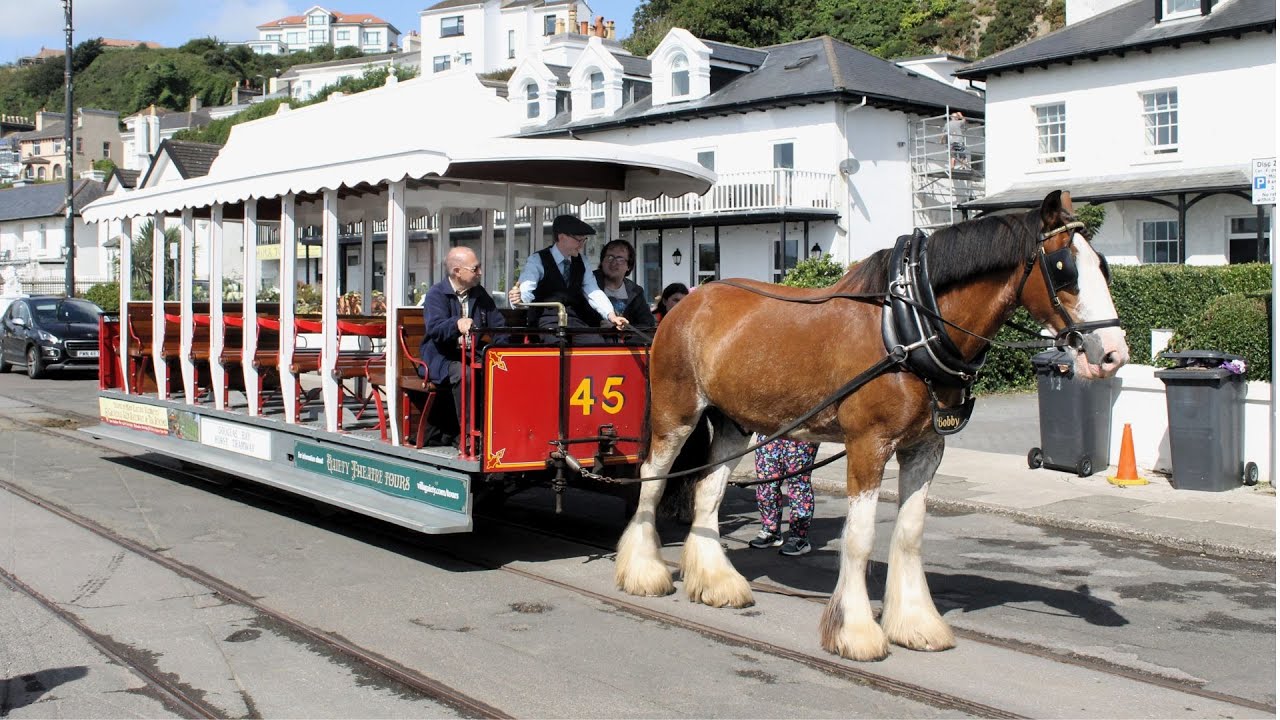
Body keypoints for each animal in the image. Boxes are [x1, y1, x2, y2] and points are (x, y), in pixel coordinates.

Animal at [614, 190, 1129, 662]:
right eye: (1064, 268)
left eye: (1102, 265)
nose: (1113, 354)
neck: (910, 326)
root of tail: (688, 302)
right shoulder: (868, 444)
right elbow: (859, 539)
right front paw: (856, 631)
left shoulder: (926, 447)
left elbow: (909, 533)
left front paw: (916, 624)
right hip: (677, 414)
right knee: (653, 481)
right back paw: (644, 572)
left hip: (733, 424)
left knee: (707, 490)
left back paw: (717, 582)